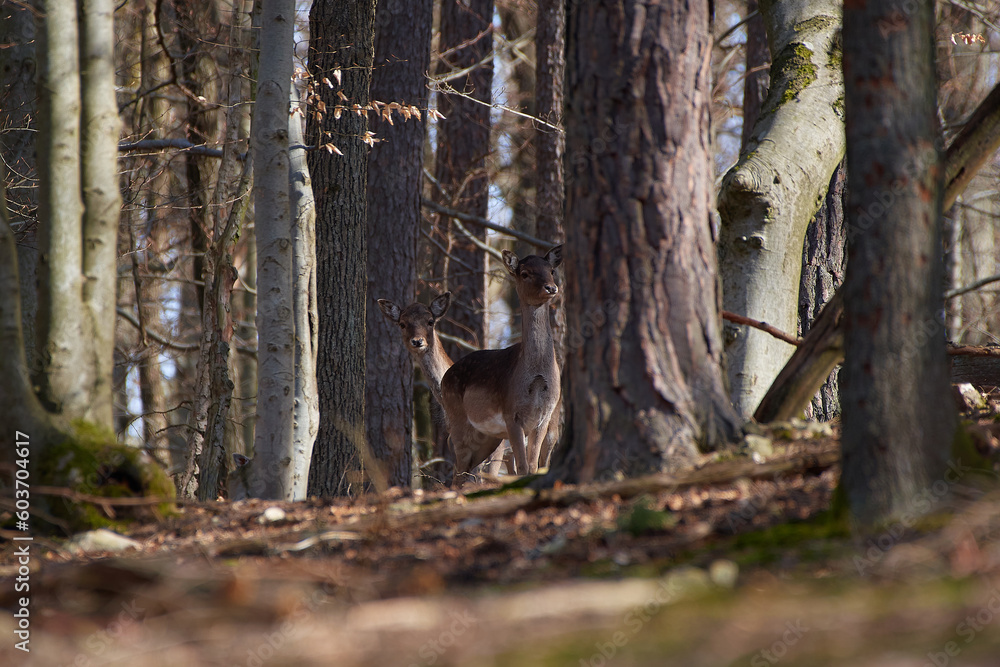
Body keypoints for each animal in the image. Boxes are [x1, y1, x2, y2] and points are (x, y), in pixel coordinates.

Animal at [444, 245, 564, 480]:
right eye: (525, 273)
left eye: (551, 270)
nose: (551, 287)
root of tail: (444, 377)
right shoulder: (511, 414)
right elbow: (523, 467)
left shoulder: (543, 417)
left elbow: (532, 466)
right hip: (457, 420)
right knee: (458, 470)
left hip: (489, 437)